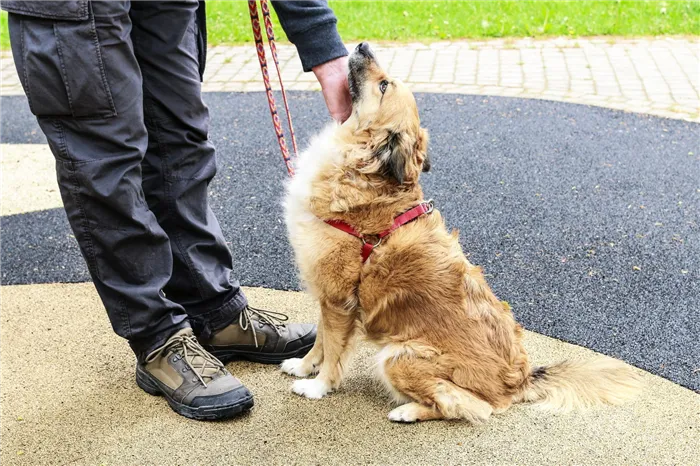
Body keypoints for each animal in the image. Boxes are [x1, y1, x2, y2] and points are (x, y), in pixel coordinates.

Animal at [282, 42, 644, 422]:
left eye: (383, 85)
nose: (363, 46)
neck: (363, 172)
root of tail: (520, 381)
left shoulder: (339, 299)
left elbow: (334, 351)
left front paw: (318, 386)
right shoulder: (327, 295)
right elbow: (321, 341)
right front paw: (304, 366)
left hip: (397, 357)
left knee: (464, 406)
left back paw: (407, 411)